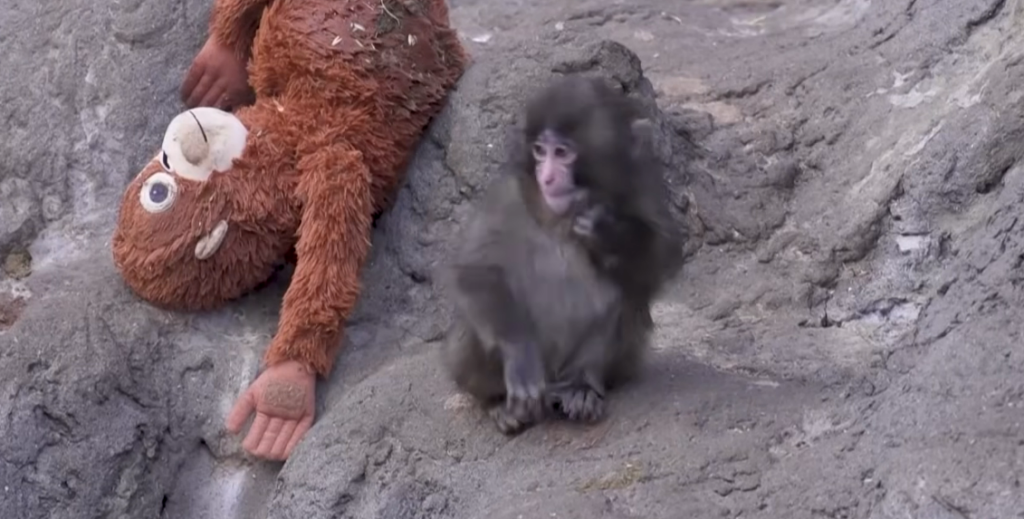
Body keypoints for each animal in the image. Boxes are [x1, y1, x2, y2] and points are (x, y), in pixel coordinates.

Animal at [439, 74, 686, 435]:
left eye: (563, 153)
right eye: (540, 152)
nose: (547, 177)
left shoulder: (639, 180)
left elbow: (662, 257)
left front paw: (606, 231)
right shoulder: (507, 195)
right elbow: (473, 272)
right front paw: (520, 353)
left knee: (623, 292)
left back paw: (582, 386)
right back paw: (499, 403)